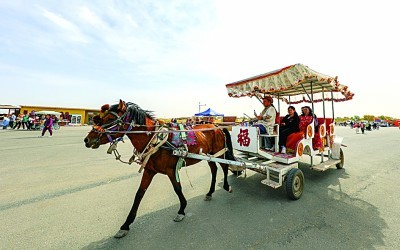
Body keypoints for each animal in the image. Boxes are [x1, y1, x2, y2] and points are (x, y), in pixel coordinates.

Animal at [83, 99, 234, 238]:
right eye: (100, 118)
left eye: (110, 119)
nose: (87, 139)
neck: (156, 140)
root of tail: (217, 126)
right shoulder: (149, 171)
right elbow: (139, 194)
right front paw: (125, 225)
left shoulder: (171, 170)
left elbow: (177, 189)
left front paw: (181, 210)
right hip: (210, 156)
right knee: (214, 170)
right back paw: (210, 192)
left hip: (219, 152)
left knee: (225, 167)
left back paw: (227, 186)